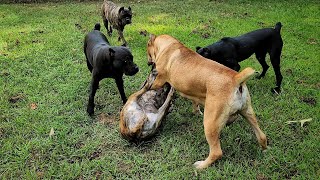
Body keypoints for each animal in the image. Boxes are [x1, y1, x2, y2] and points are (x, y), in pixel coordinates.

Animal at [148, 33, 268, 169]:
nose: (148, 63)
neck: (170, 45)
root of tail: (236, 78)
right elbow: (195, 103)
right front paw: (196, 111)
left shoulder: (158, 81)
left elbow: (150, 87)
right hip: (248, 113)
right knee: (261, 136)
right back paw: (264, 150)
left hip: (210, 124)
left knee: (216, 152)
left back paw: (201, 165)